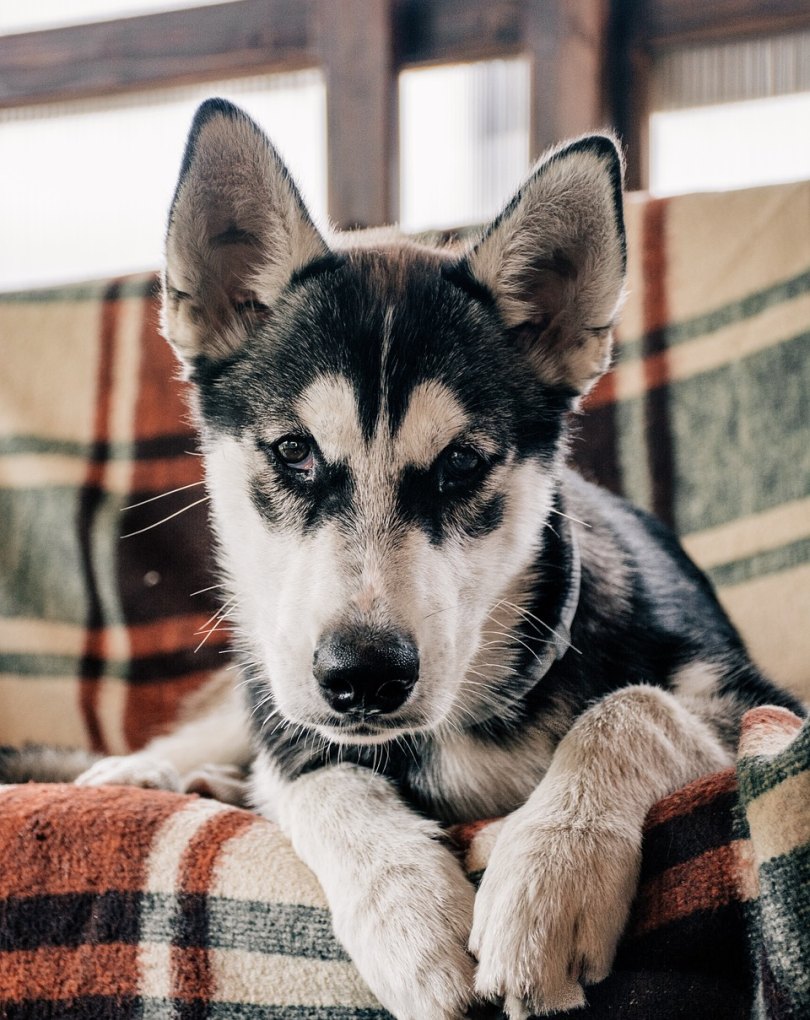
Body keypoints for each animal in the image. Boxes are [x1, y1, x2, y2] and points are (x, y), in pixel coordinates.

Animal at [18, 97, 799, 1020]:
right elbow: (320, 775)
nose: (363, 676)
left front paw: (553, 872)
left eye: (460, 463)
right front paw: (409, 912)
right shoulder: (295, 717)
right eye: (294, 452)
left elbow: (633, 706)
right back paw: (159, 773)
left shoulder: (757, 702)